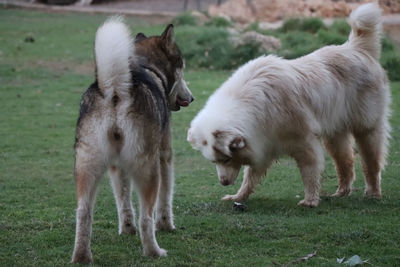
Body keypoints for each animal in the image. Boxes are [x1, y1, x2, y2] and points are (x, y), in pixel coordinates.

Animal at [187, 3, 390, 208]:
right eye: (215, 162)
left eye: (227, 159)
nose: (223, 182)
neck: (250, 103)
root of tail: (357, 48)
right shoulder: (262, 142)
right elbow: (250, 176)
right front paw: (238, 197)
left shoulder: (304, 142)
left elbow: (309, 173)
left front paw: (310, 200)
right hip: (335, 134)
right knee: (346, 162)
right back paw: (342, 192)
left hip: (366, 128)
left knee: (371, 163)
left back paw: (373, 193)